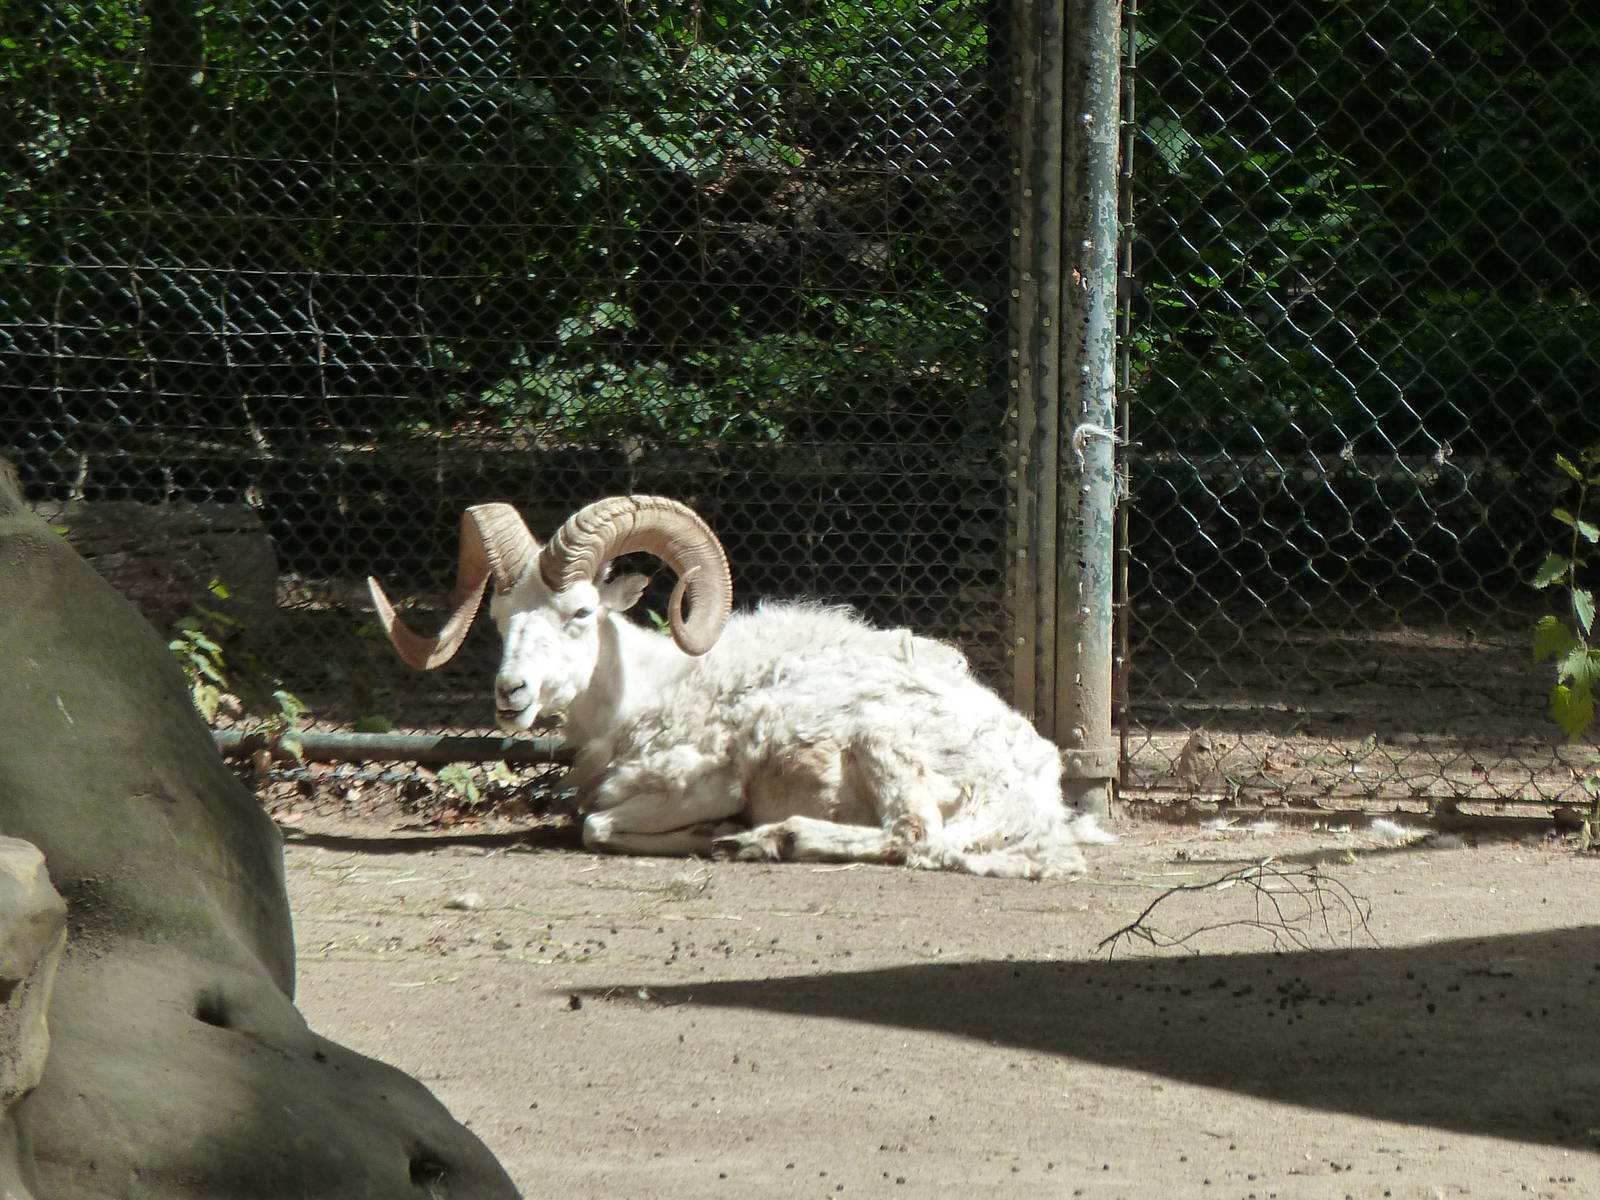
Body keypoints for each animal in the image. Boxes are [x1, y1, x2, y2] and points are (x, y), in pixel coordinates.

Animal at [368, 495, 1110, 878]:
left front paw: (716, 832)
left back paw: (767, 840)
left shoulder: (703, 782)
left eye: (579, 612)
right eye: (499, 619)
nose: (512, 694)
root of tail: (1028, 789)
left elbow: (596, 826)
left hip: (881, 744)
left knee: (914, 837)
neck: (651, 691)